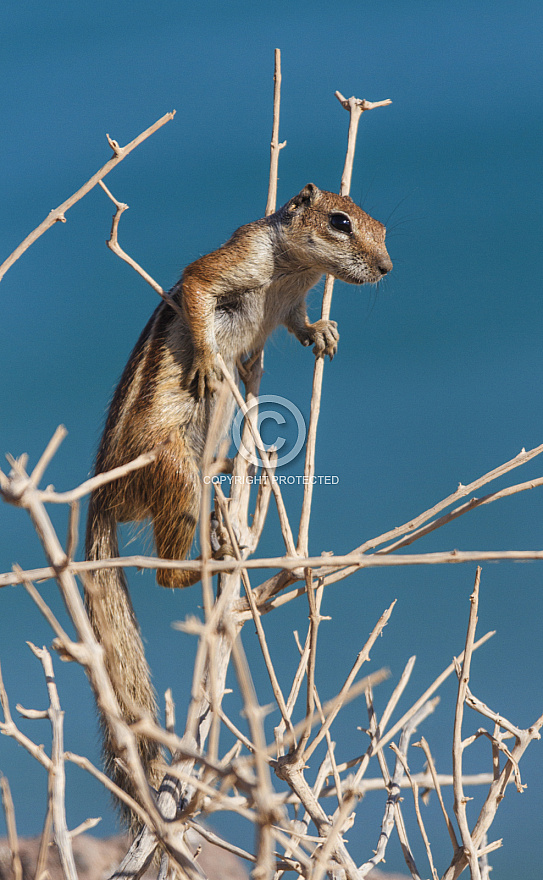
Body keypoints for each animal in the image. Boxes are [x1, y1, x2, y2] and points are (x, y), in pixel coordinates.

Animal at [84, 184, 392, 824]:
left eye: (383, 230)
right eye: (340, 222)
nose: (385, 268)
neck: (295, 270)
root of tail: (99, 496)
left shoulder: (293, 300)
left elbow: (297, 322)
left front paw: (321, 332)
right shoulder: (234, 261)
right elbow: (198, 286)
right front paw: (206, 358)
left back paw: (228, 496)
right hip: (174, 471)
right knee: (167, 575)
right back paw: (214, 559)